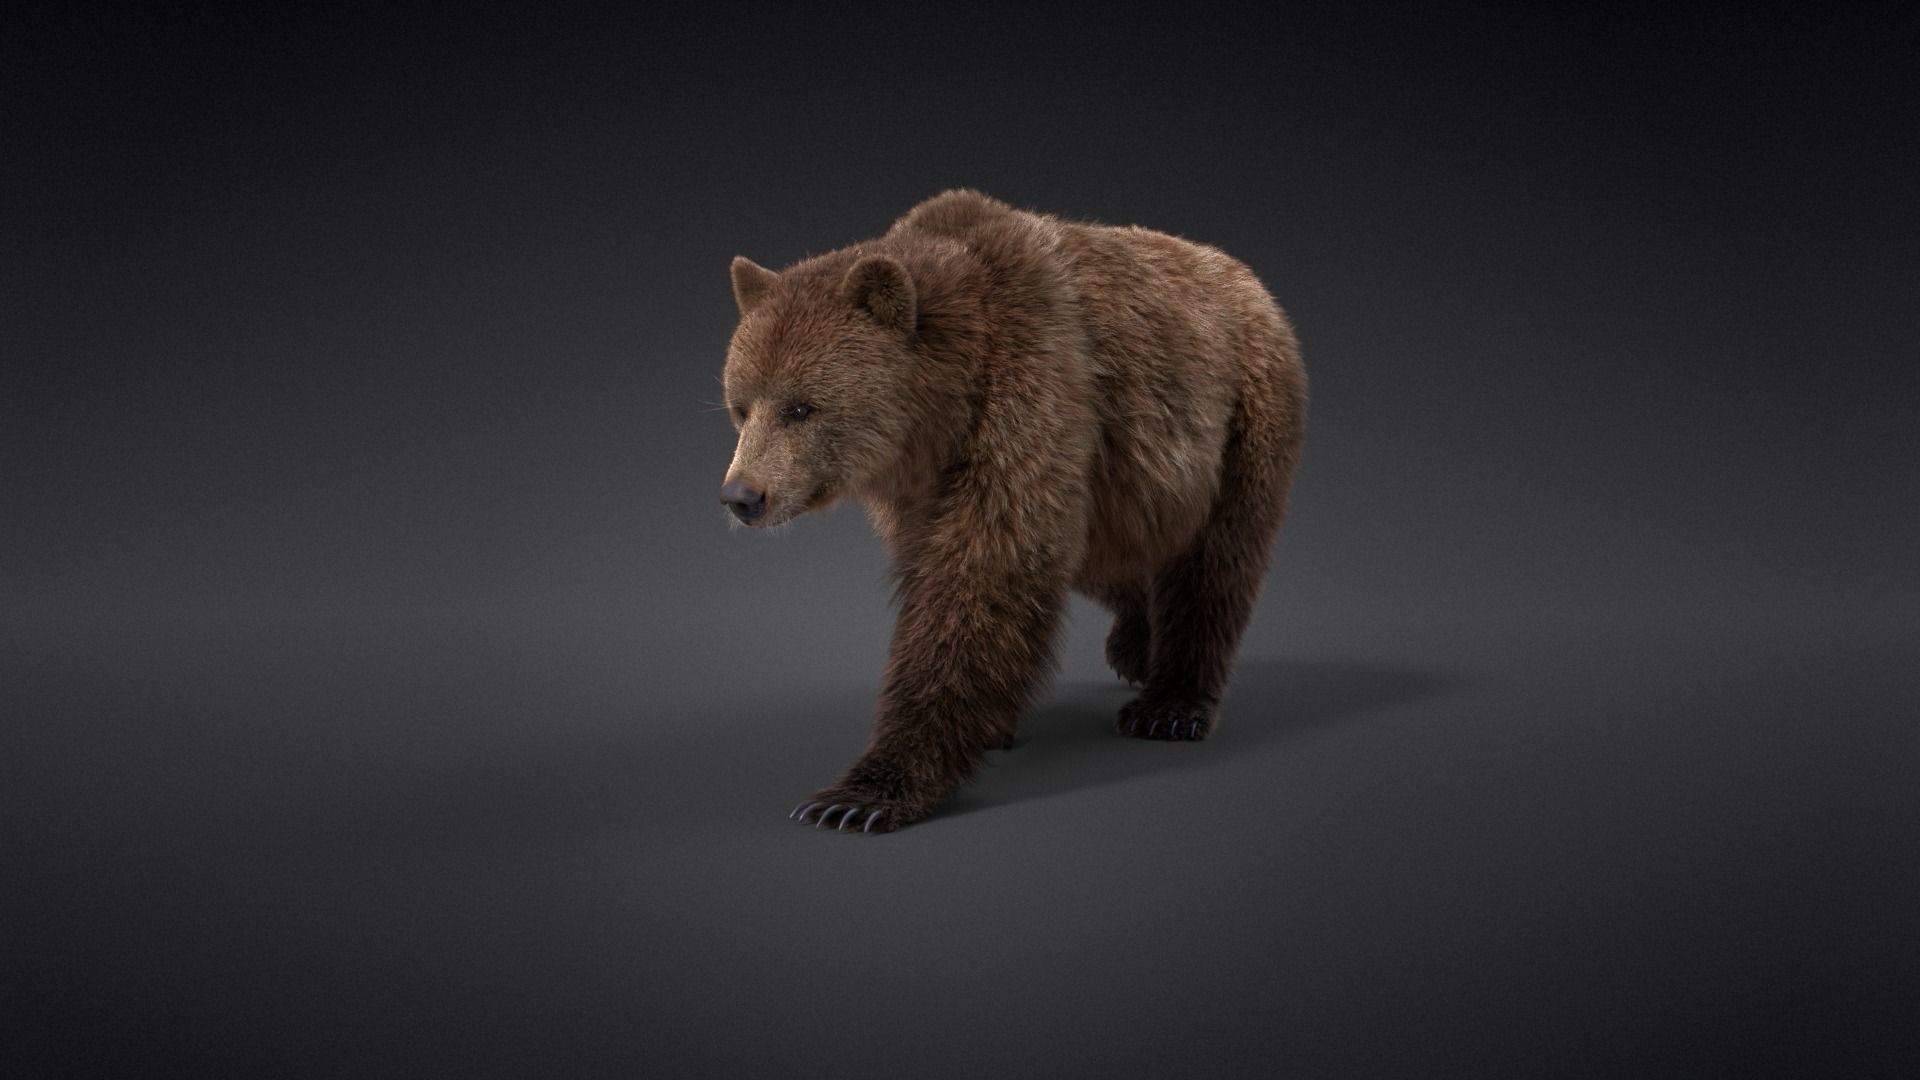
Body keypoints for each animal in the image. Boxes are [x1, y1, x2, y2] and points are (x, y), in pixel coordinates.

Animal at [718, 189, 1307, 834]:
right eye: (741, 406)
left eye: (801, 407)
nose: (742, 496)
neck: (938, 413)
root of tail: (1249, 281)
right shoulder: (919, 491)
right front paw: (990, 727)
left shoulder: (1030, 385)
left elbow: (984, 573)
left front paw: (859, 795)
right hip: (1127, 484)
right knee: (1107, 555)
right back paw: (1133, 644)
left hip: (1241, 417)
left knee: (1214, 563)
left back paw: (1170, 703)